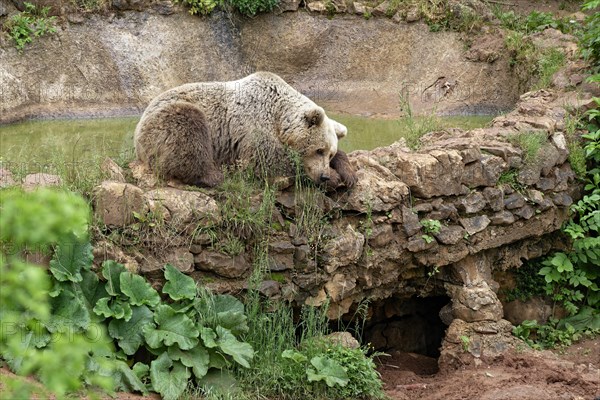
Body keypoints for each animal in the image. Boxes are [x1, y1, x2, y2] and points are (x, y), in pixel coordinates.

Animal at [135, 72, 356, 191]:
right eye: (319, 150)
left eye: (329, 153)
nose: (324, 176)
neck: (279, 115)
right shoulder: (253, 124)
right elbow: (265, 160)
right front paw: (334, 178)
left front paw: (347, 173)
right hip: (165, 121)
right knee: (188, 128)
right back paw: (214, 175)